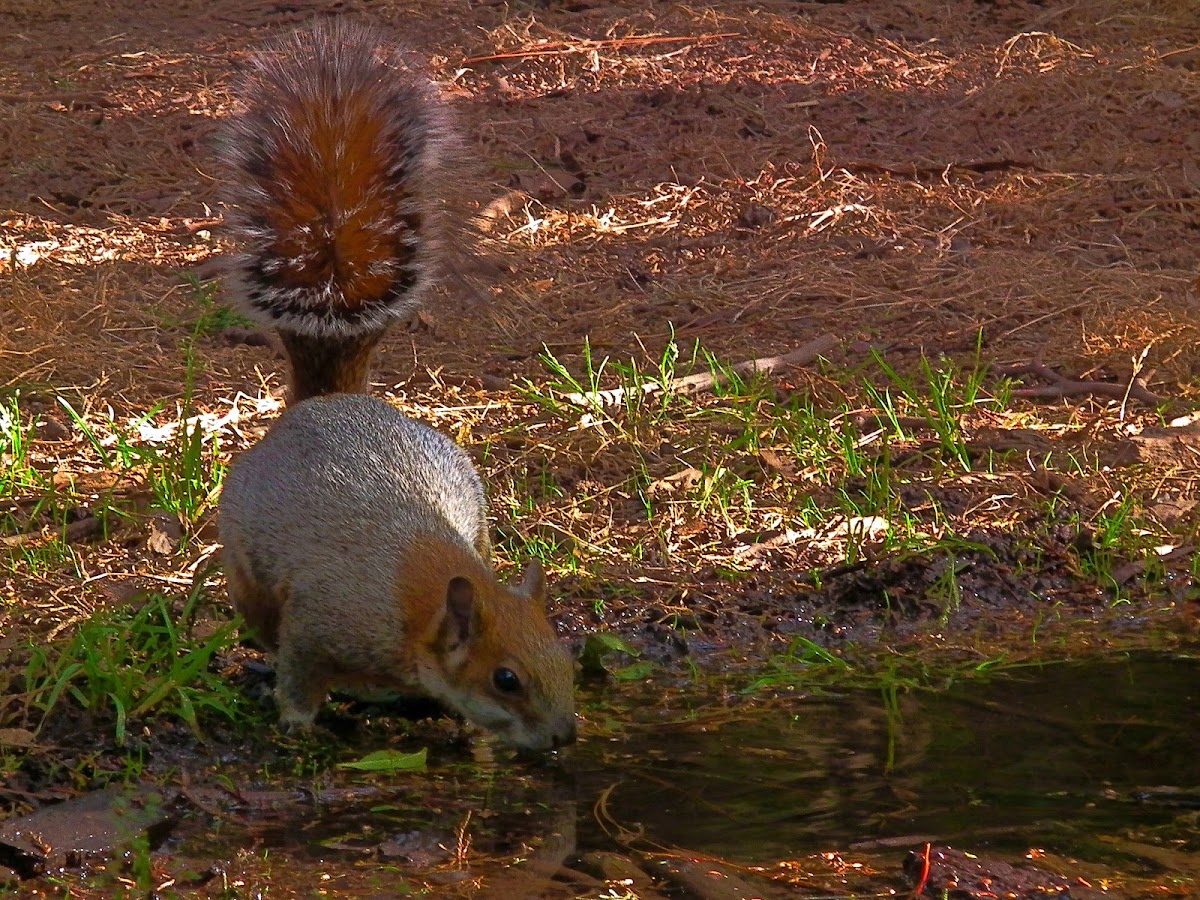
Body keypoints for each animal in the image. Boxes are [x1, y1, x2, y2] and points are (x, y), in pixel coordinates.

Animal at [218, 24, 578, 748]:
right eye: (505, 679)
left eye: (566, 656)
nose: (564, 736)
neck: (421, 595)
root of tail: (329, 401)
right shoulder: (320, 624)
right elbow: (299, 677)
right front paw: (300, 726)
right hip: (250, 576)